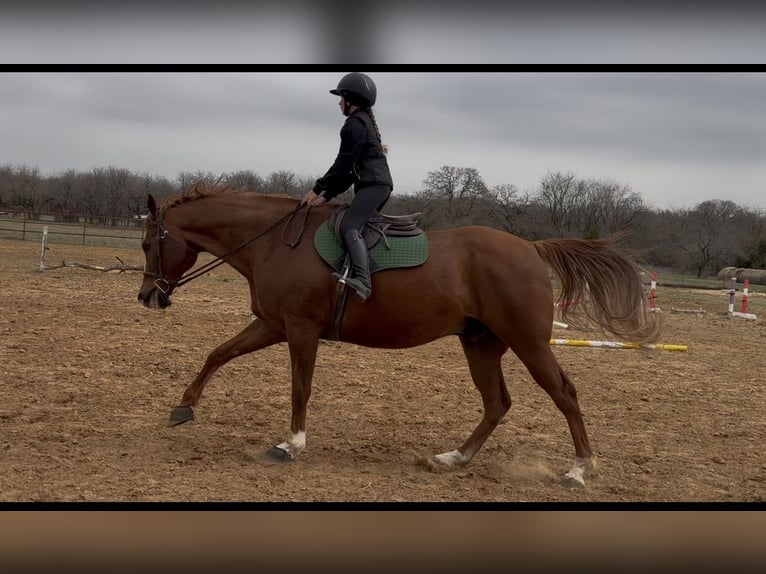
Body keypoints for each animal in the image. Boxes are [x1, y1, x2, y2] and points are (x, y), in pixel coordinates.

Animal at [137, 183, 661, 487]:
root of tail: (531, 248)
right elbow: (218, 354)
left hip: (528, 344)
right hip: (481, 344)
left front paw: (291, 444)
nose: (147, 297)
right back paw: (452, 458)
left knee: (564, 394)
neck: (275, 242)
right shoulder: (273, 325)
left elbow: (300, 388)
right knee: (497, 403)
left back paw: (579, 469)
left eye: (147, 243)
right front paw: (184, 407)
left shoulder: (300, 331)